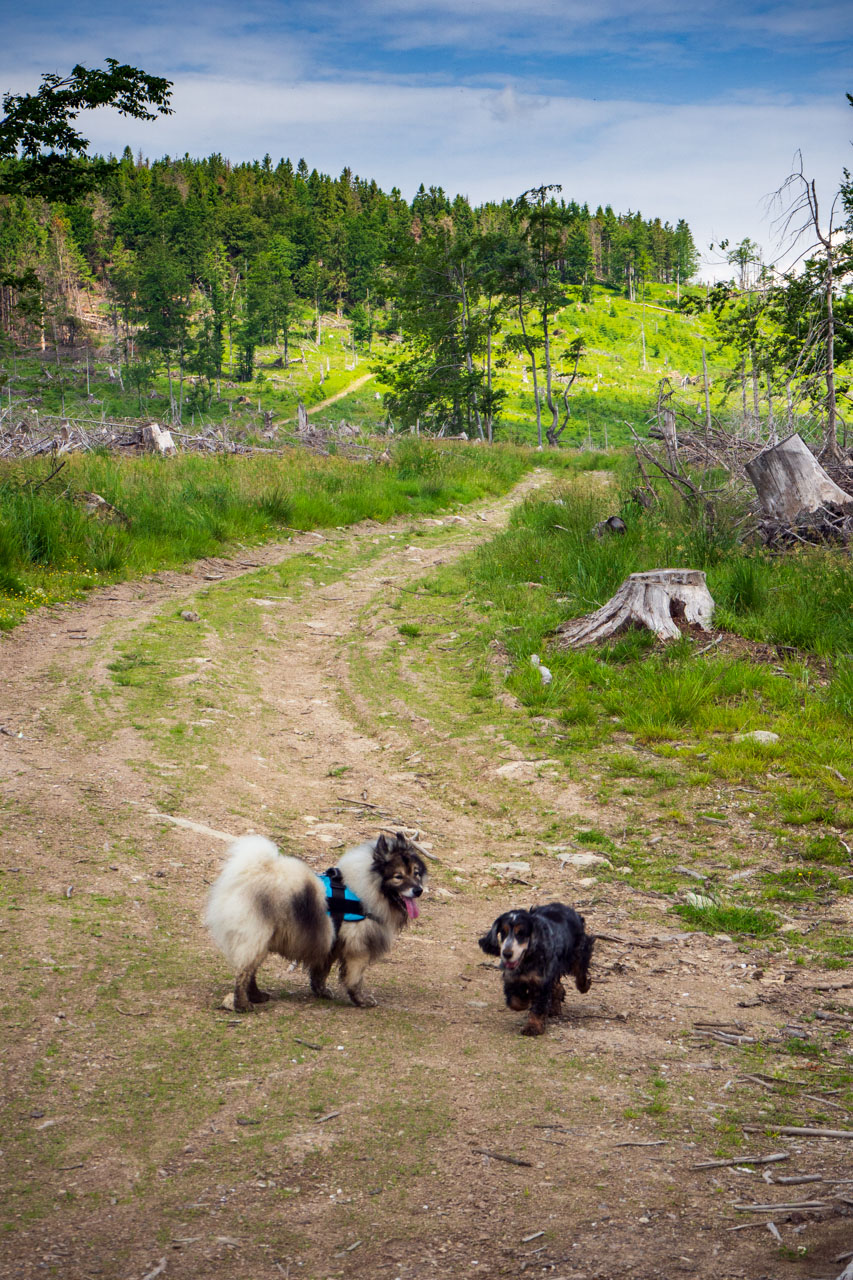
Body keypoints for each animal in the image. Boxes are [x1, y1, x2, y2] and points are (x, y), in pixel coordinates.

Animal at [479, 906, 591, 1034]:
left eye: (521, 933)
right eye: (503, 932)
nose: (506, 954)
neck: (526, 961)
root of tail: (566, 907)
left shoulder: (541, 981)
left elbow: (538, 1006)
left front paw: (533, 1027)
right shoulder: (512, 978)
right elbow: (515, 1001)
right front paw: (526, 1001)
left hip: (578, 952)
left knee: (580, 972)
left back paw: (584, 986)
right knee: (557, 986)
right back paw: (554, 1007)